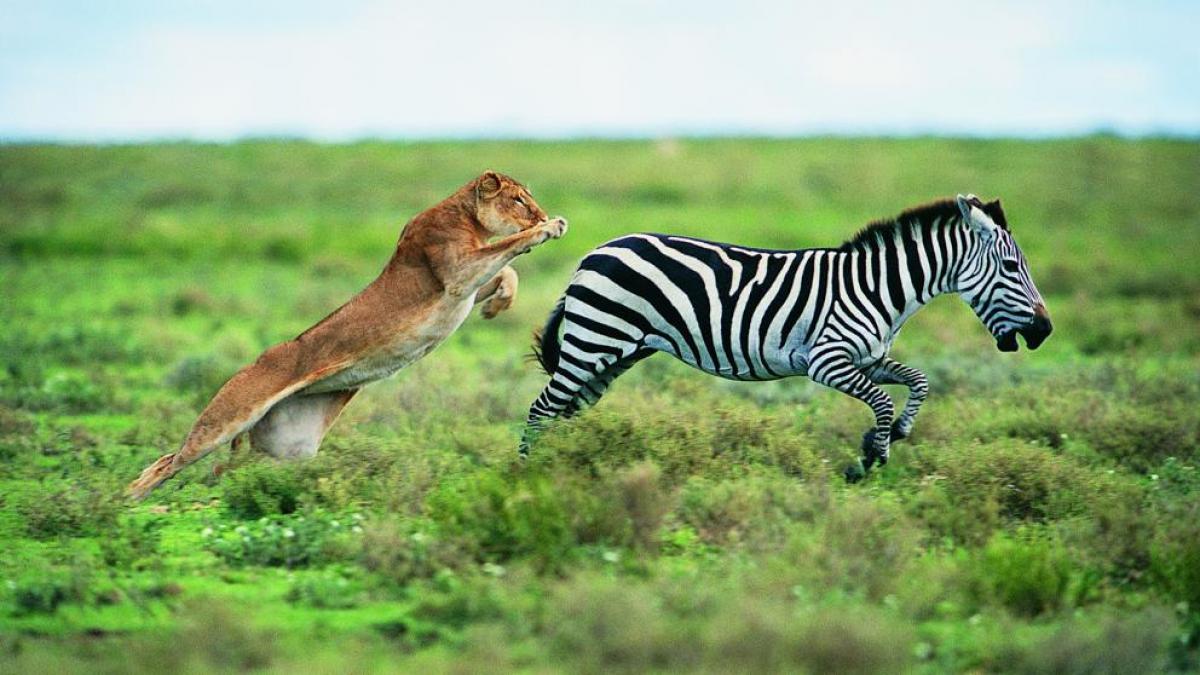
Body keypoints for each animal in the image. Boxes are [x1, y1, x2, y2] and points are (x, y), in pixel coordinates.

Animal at [127, 171, 567, 499]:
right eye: (519, 201)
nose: (542, 213)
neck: (467, 216)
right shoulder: (457, 272)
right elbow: (510, 246)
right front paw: (549, 228)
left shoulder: (465, 286)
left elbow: (508, 271)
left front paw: (498, 306)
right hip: (230, 416)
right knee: (168, 463)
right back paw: (128, 504)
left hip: (290, 443)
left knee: (227, 467)